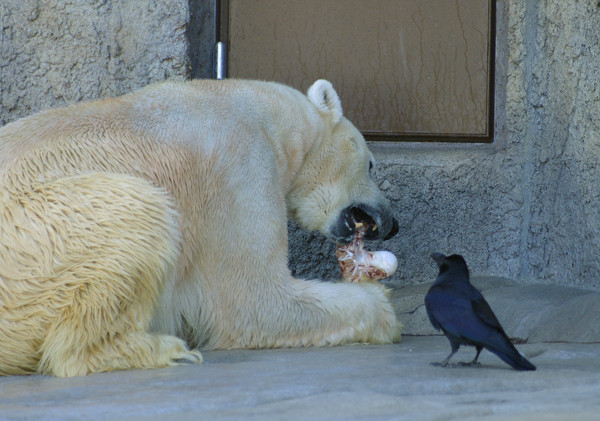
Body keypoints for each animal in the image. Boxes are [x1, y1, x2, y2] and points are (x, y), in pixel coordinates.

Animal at [1, 79, 404, 378]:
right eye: (371, 163)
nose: (393, 223)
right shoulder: (239, 169)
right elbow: (256, 302)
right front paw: (385, 312)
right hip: (41, 236)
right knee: (142, 213)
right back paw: (163, 349)